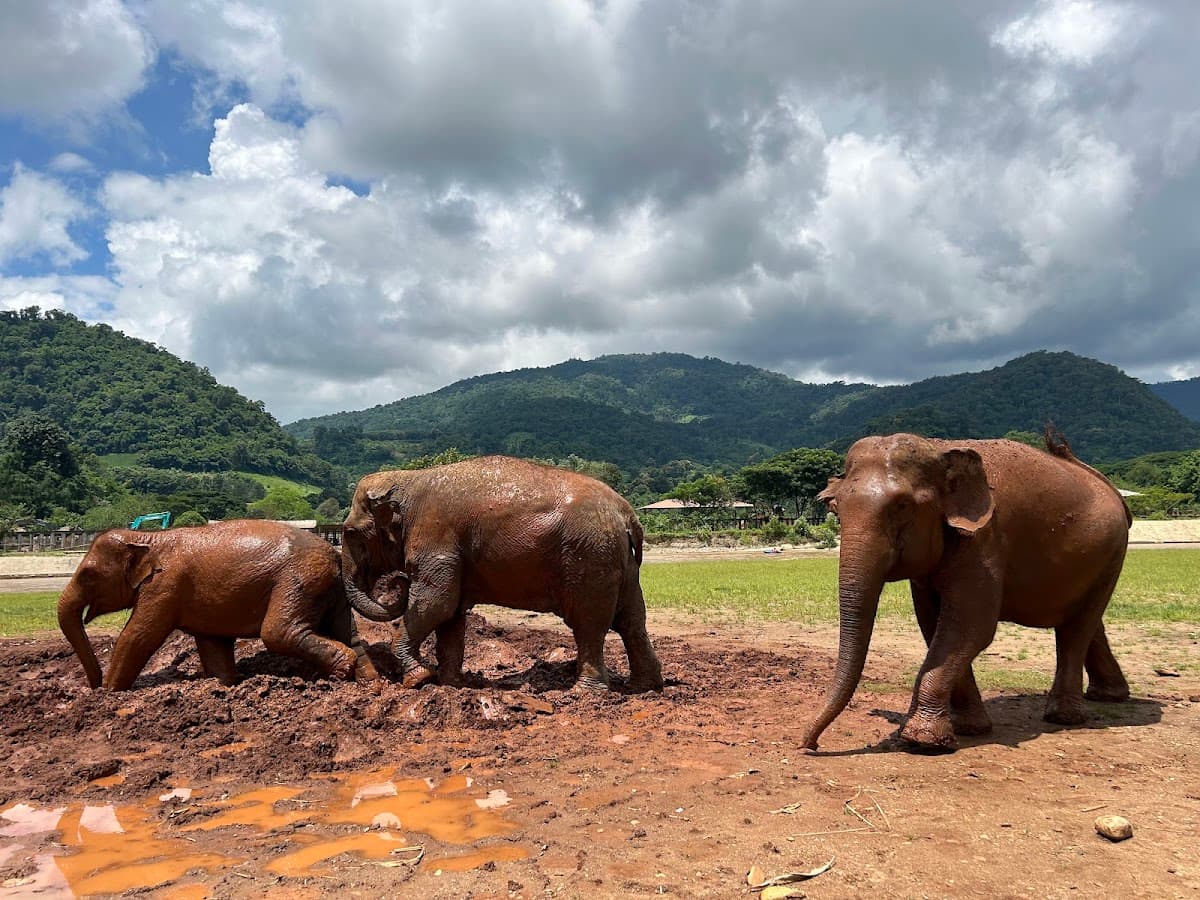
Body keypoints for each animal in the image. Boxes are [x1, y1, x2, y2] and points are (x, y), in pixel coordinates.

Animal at [58, 519, 406, 691]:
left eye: (87, 574)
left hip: (298, 580)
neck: (148, 537)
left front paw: (110, 696)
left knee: (278, 632)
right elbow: (213, 644)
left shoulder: (163, 588)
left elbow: (139, 636)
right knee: (346, 631)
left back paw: (340, 674)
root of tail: (334, 554)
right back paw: (369, 684)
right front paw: (224, 686)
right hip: (329, 589)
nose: (92, 687)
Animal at [341, 455, 664, 693]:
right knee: (632, 621)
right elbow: (450, 615)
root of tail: (627, 514)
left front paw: (418, 679)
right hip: (620, 562)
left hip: (590, 557)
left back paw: (586, 693)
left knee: (589, 624)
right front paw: (452, 685)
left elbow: (436, 603)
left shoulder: (436, 539)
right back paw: (644, 688)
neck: (408, 478)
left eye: (350, 533)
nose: (397, 581)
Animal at [801, 430, 1131, 752]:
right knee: (1088, 622)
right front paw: (968, 729)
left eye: (902, 506)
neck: (938, 448)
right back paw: (1109, 696)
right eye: (836, 510)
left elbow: (971, 625)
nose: (810, 745)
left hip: (1113, 553)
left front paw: (921, 741)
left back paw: (1064, 717)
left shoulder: (985, 539)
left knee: (1077, 627)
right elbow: (933, 623)